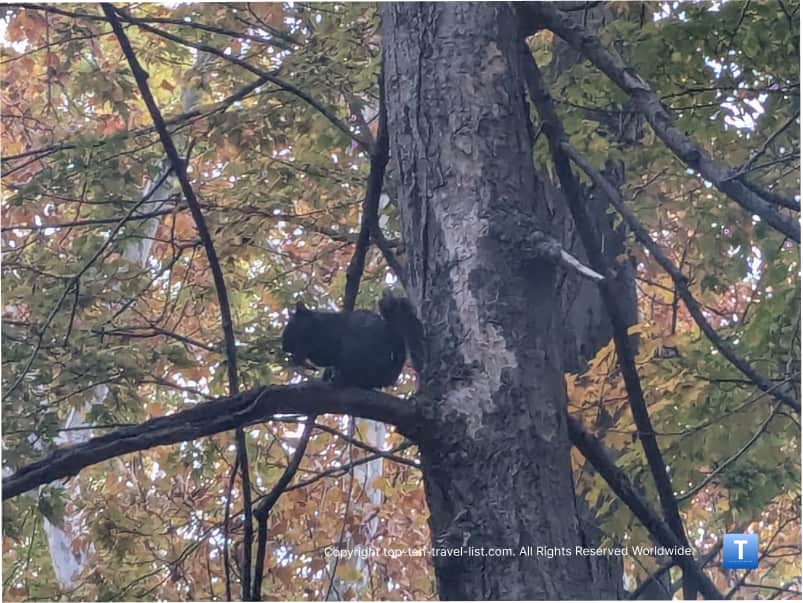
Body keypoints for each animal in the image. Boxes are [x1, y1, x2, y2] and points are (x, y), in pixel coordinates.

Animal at [281, 291, 424, 389]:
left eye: (292, 323)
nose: (283, 345)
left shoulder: (323, 336)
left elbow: (314, 352)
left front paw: (301, 359)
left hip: (355, 352)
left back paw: (339, 379)